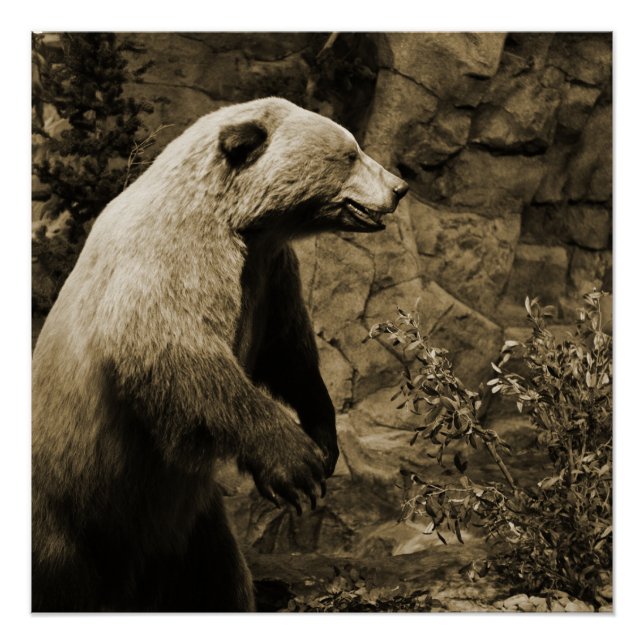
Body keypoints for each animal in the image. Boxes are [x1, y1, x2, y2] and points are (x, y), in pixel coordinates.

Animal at [32, 96, 409, 612]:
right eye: (350, 153)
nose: (399, 187)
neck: (242, 223)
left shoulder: (270, 275)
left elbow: (288, 352)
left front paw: (324, 439)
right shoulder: (172, 257)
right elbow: (179, 351)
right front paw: (296, 465)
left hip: (189, 528)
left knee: (215, 580)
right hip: (69, 515)